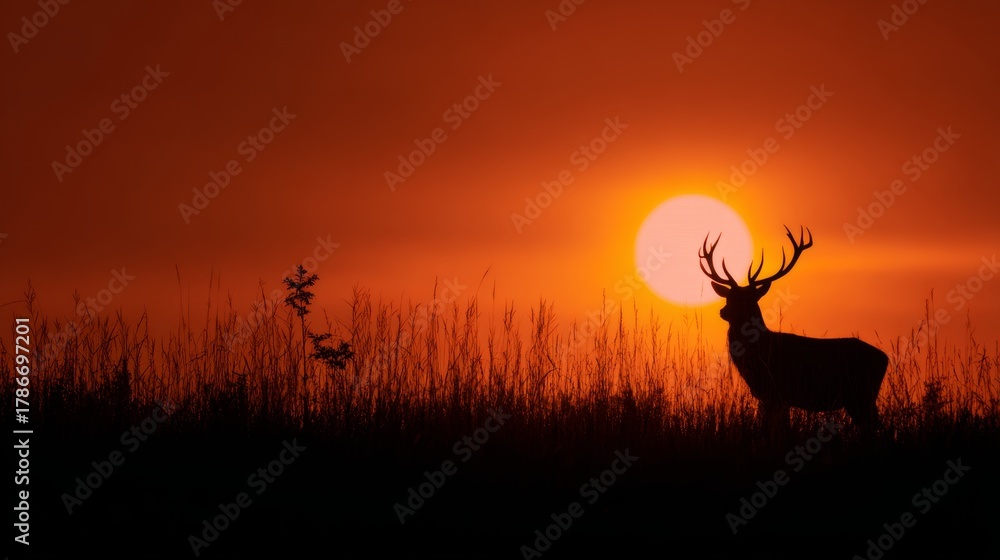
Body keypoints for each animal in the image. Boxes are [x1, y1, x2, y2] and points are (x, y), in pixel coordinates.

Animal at [699, 225, 888, 436]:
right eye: (728, 297)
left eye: (748, 299)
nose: (723, 311)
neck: (760, 352)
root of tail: (885, 358)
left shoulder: (778, 393)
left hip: (861, 394)